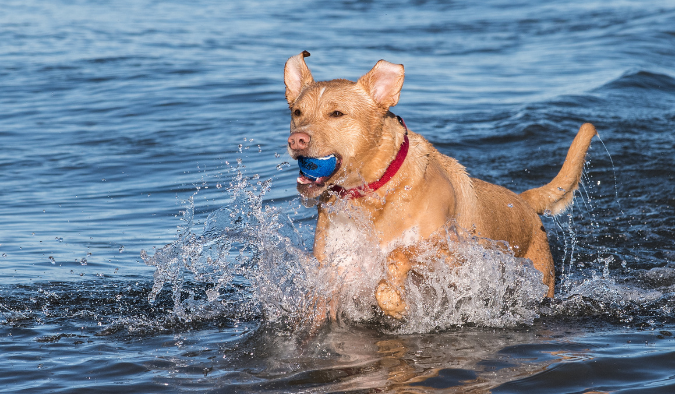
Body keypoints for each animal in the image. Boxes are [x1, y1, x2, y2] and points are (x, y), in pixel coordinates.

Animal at [284, 50, 596, 320]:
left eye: (337, 114)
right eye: (297, 112)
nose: (296, 140)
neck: (373, 195)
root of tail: (524, 201)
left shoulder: (455, 258)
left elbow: (398, 254)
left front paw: (395, 300)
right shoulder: (333, 270)